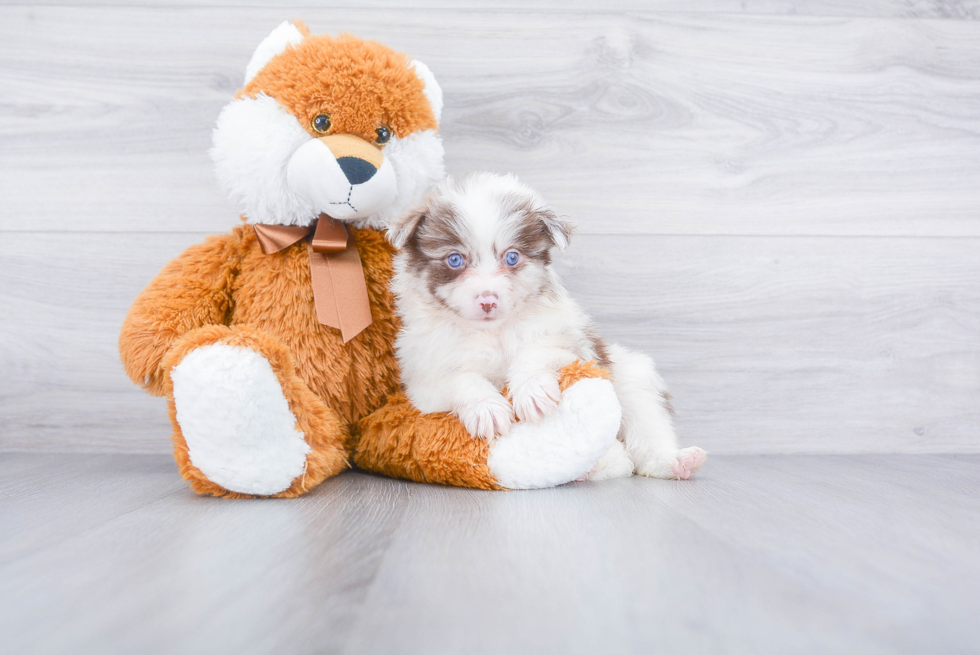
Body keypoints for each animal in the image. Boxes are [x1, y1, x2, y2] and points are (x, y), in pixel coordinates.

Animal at [386, 173, 708, 482]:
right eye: (454, 259)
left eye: (512, 257)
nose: (488, 300)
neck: (493, 332)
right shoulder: (423, 385)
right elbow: (460, 379)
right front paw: (487, 407)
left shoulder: (575, 348)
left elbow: (535, 352)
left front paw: (532, 391)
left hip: (634, 378)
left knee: (644, 437)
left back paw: (674, 462)